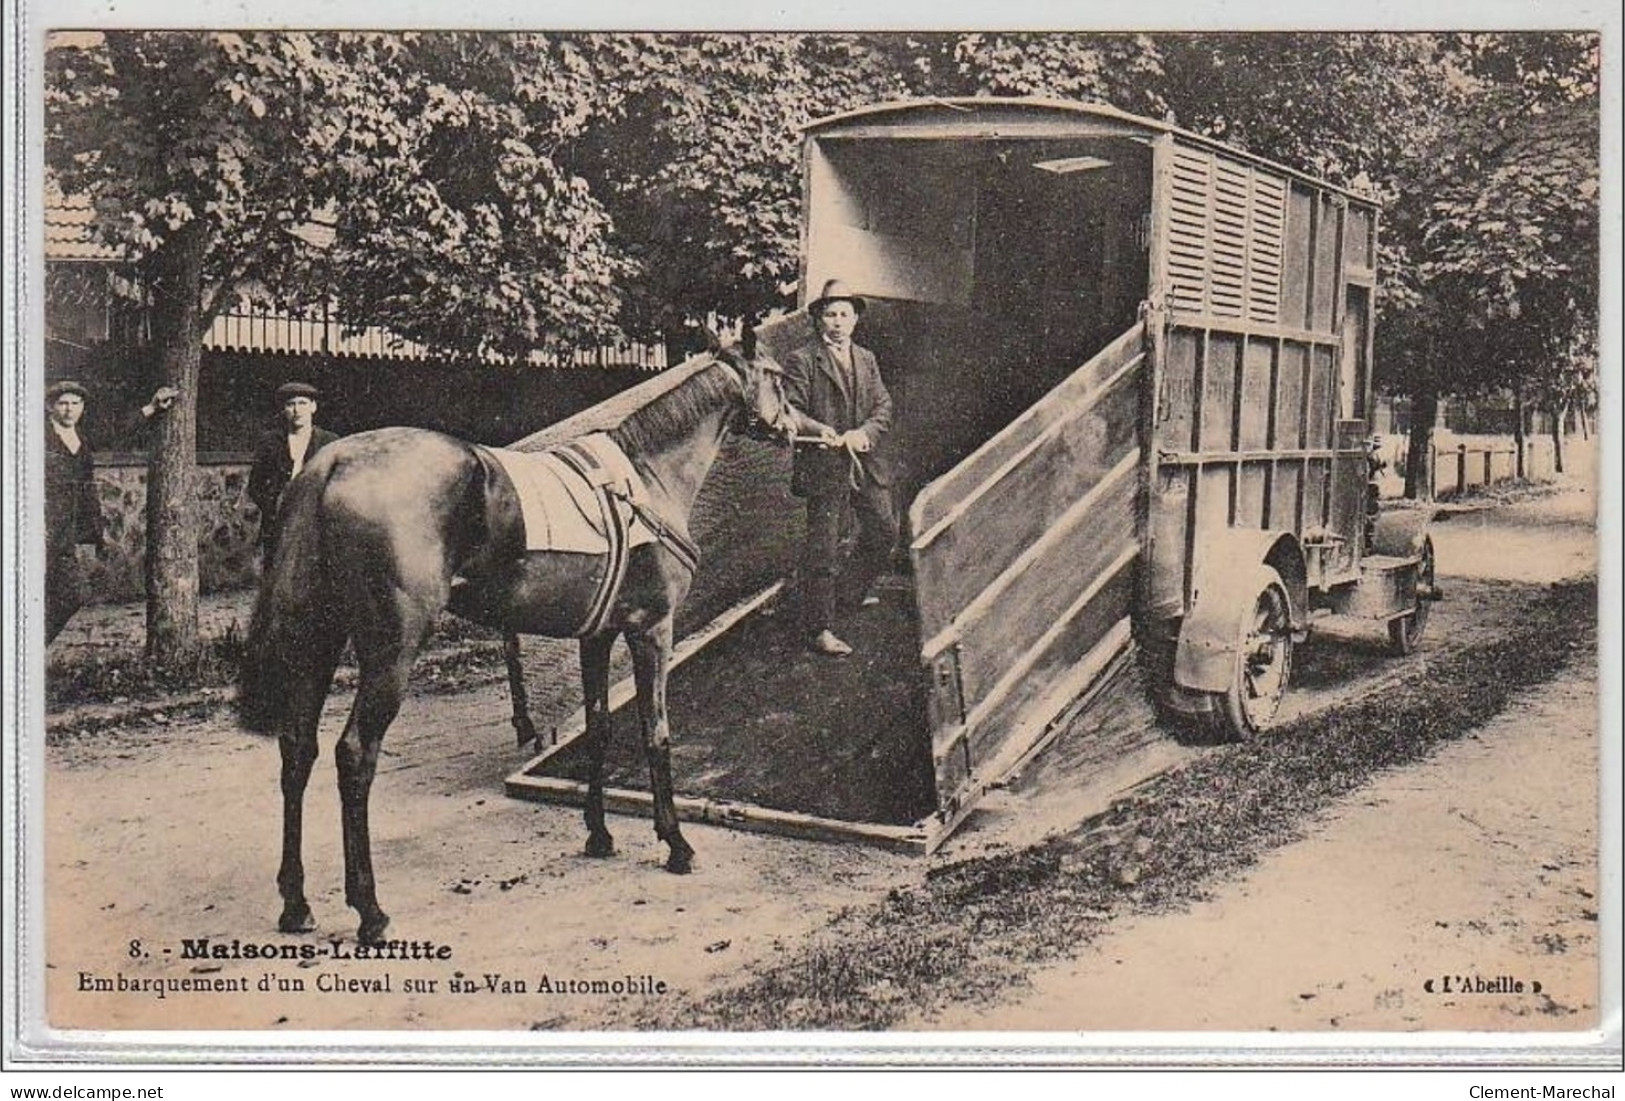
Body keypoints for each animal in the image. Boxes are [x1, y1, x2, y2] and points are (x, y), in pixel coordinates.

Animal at [240, 336, 793, 948]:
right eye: (777, 376)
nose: (794, 426)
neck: (646, 477)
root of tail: (330, 464)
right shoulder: (652, 630)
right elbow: (656, 734)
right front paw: (675, 844)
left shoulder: (597, 636)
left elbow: (599, 728)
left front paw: (599, 835)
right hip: (391, 653)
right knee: (354, 755)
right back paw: (370, 909)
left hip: (316, 641)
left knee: (298, 750)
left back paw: (296, 903)